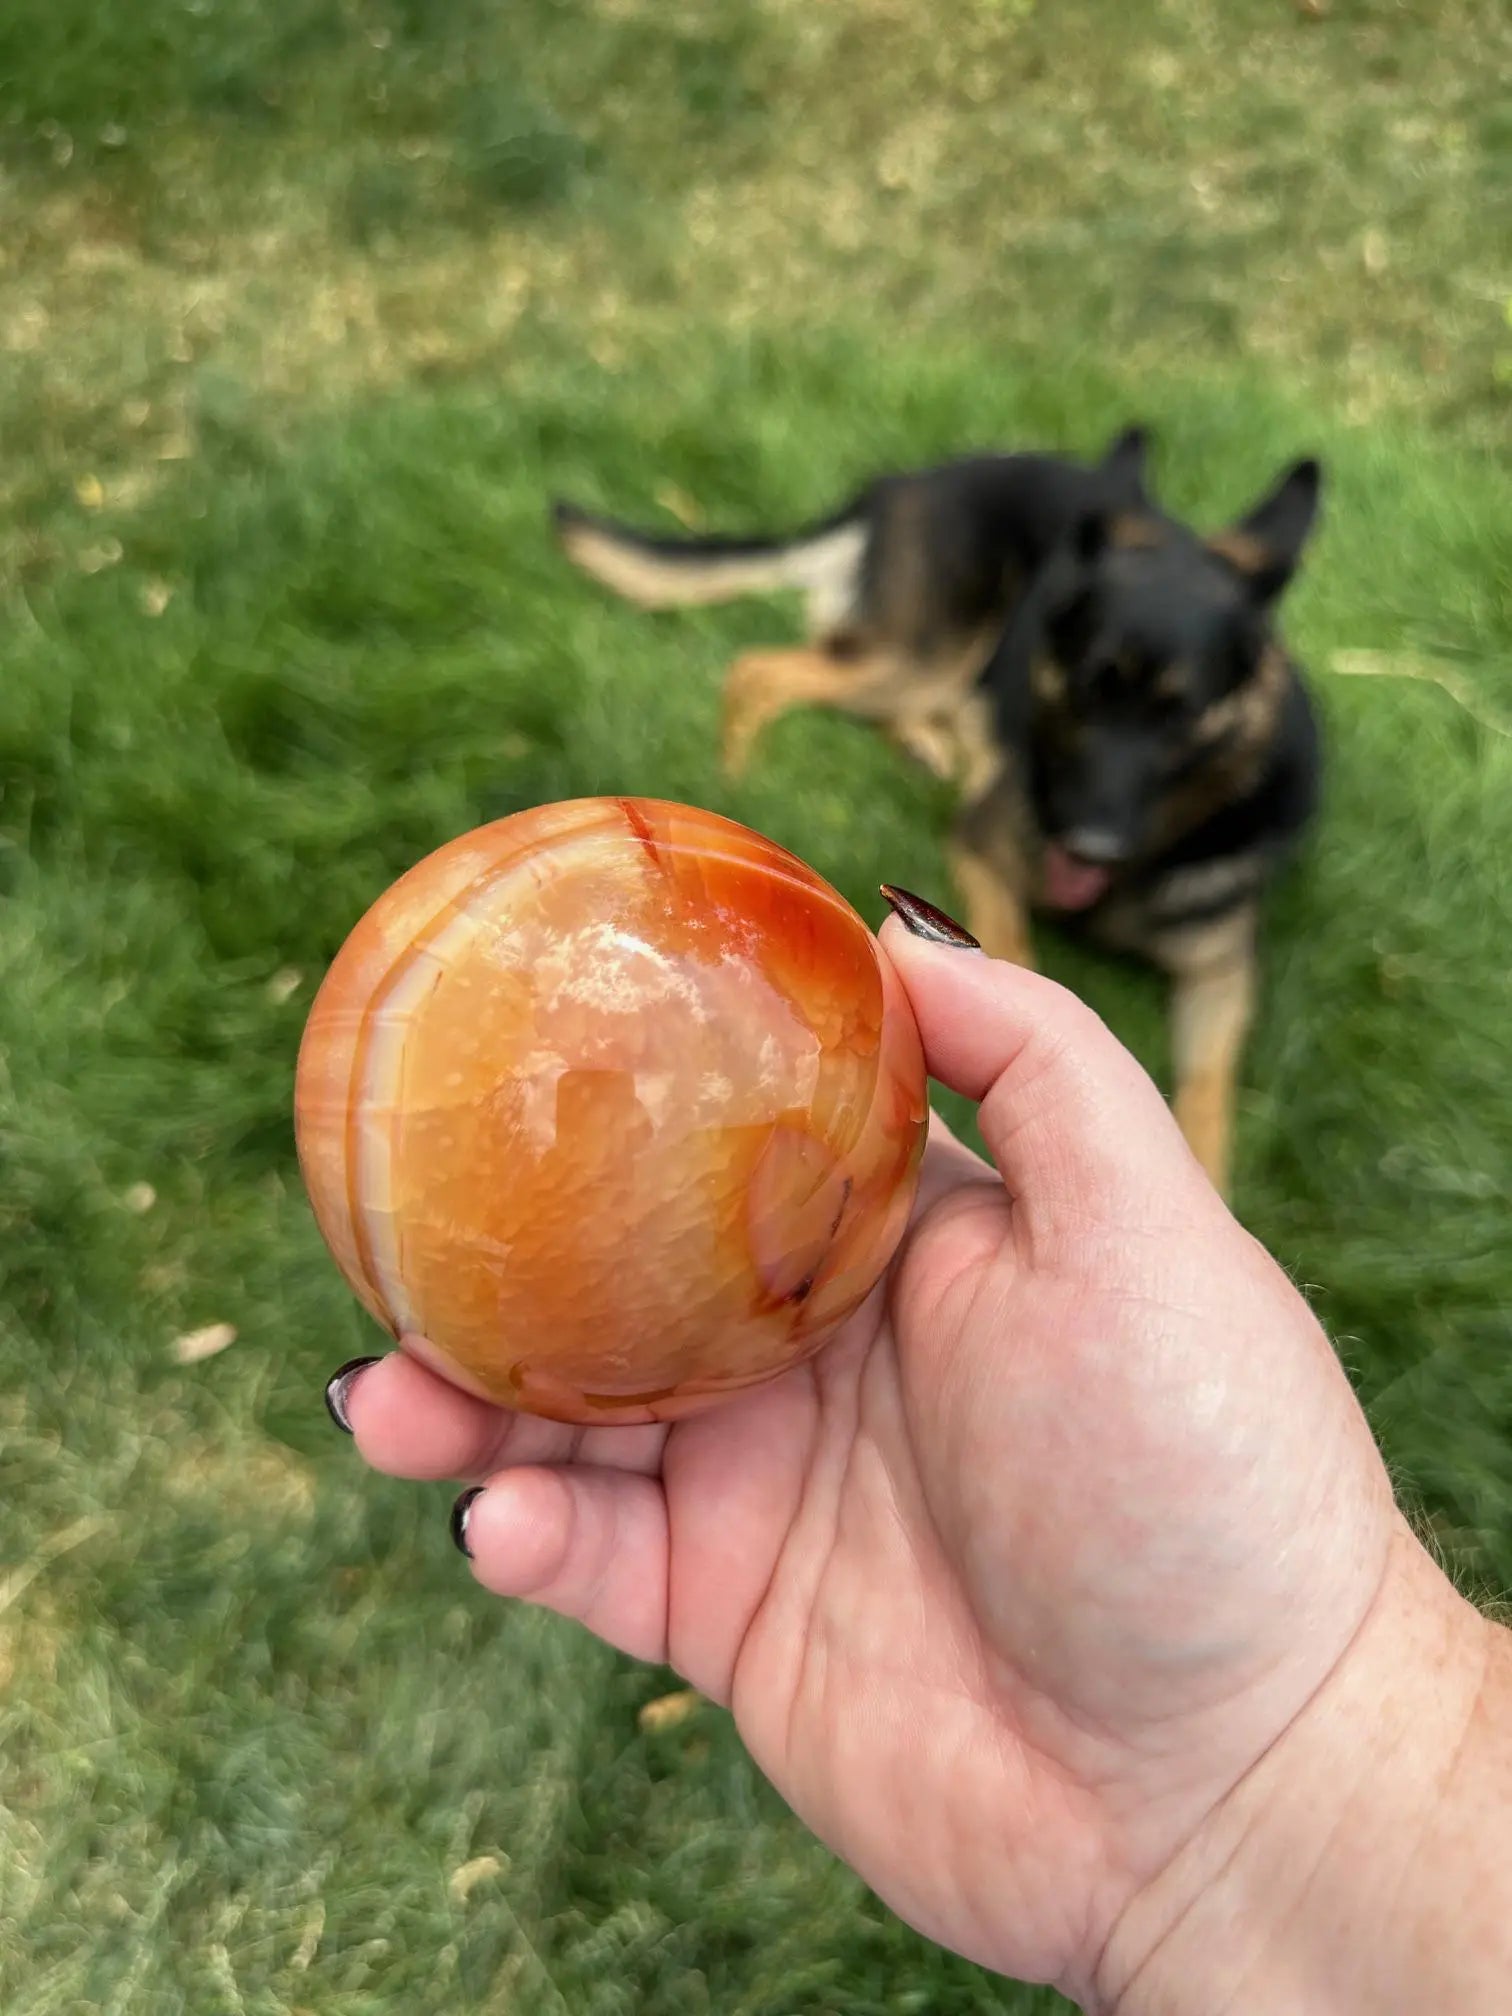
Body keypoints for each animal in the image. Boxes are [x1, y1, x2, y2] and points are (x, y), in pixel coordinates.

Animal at [556, 417, 1322, 1185]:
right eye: (1083, 691)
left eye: (1179, 713)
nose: (1087, 842)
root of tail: (902, 483)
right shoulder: (981, 843)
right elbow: (1020, 947)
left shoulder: (1222, 968)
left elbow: (1210, 1089)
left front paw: (1210, 1177)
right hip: (928, 652)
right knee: (761, 673)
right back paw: (735, 776)